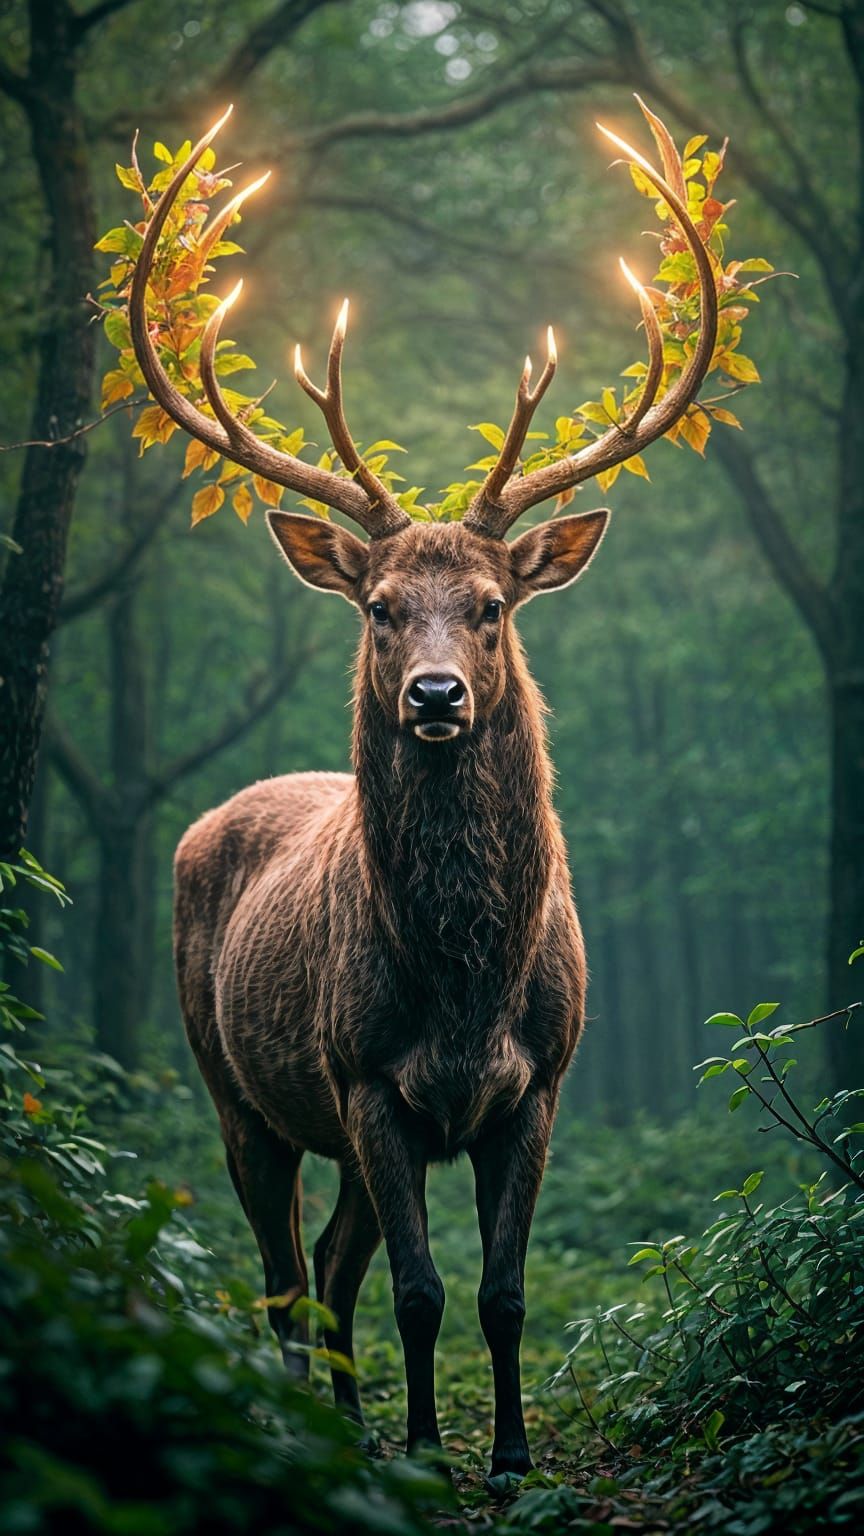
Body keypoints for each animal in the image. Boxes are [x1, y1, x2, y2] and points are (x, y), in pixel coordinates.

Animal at [129, 103, 717, 1476]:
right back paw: (316, 1429)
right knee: (286, 1275)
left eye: (493, 606)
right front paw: (429, 1449)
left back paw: (349, 1423)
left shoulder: (541, 1082)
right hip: (236, 1088)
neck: (463, 986)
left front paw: (502, 1455)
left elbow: (496, 1293)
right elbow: (419, 1290)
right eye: (383, 607)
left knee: (329, 1263)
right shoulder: (366, 1079)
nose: (437, 695)